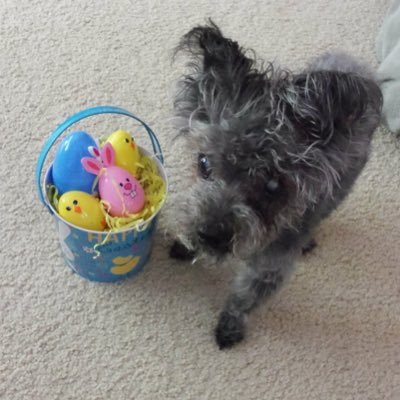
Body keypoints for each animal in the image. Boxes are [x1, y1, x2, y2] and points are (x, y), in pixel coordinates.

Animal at [168, 21, 382, 350]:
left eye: (272, 186)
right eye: (203, 163)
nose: (209, 233)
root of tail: (356, 64)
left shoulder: (271, 267)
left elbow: (246, 298)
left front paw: (230, 325)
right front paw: (186, 244)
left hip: (342, 188)